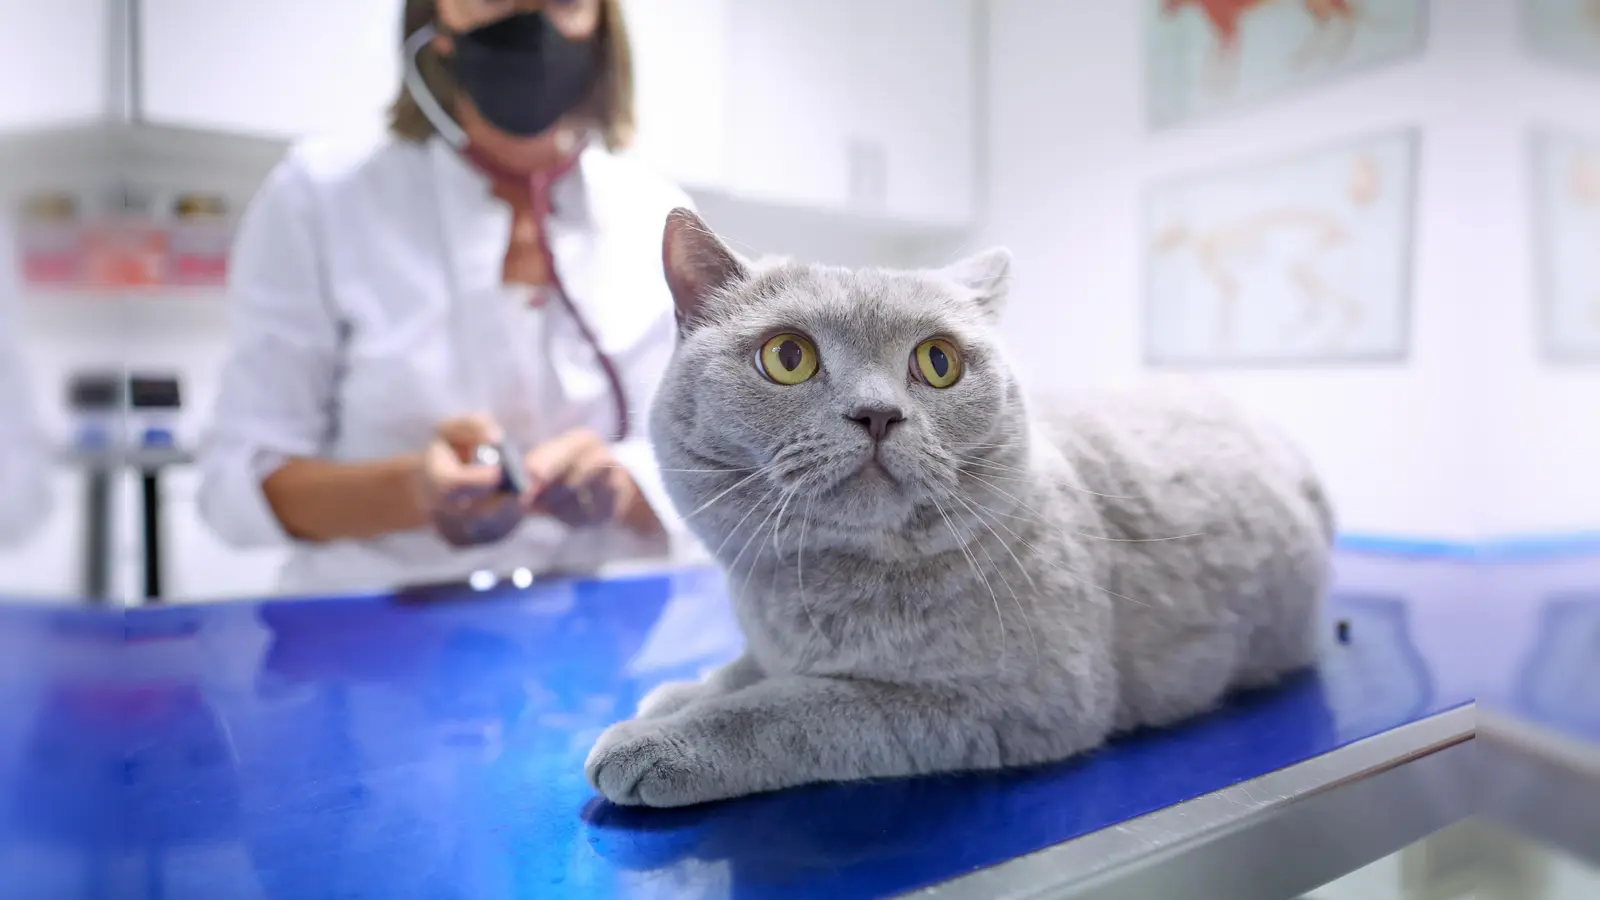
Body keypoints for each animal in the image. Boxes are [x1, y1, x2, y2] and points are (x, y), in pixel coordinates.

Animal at [582, 208, 1331, 807]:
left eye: (938, 362)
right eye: (788, 356)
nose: (878, 413)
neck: (810, 593)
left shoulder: (1015, 701)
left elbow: (790, 703)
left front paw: (658, 741)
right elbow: (745, 671)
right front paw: (678, 695)